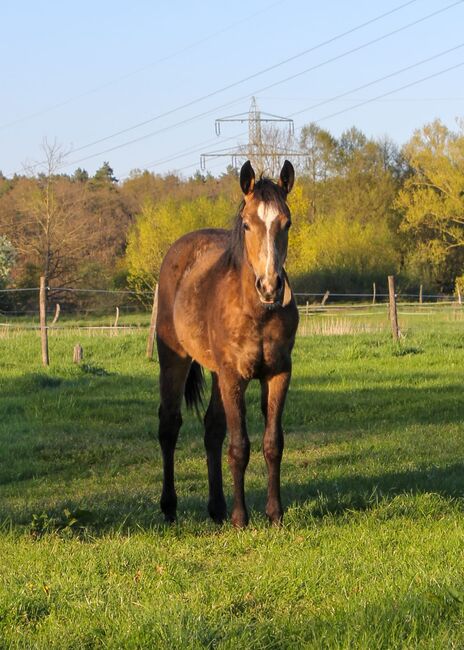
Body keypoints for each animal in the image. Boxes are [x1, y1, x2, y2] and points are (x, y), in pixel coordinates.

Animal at [156, 160, 299, 527]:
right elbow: (239, 446)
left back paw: (217, 508)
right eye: (247, 224)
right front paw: (241, 518)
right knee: (169, 424)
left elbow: (272, 443)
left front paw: (275, 514)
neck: (256, 310)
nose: (270, 286)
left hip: (218, 372)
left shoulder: (278, 374)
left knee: (212, 429)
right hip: (174, 360)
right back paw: (170, 507)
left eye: (286, 222)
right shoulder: (235, 376)